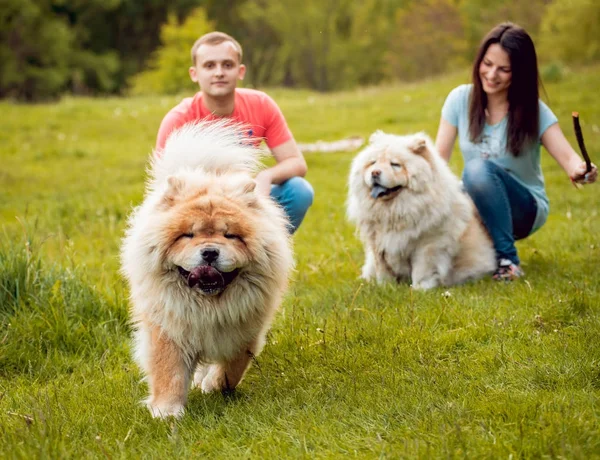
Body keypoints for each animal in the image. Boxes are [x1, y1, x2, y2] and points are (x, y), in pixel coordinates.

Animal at [120, 120, 294, 418]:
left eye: (230, 236)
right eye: (188, 235)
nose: (210, 252)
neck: (210, 308)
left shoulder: (244, 330)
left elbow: (232, 368)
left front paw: (214, 386)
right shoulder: (168, 330)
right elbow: (169, 373)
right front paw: (167, 412)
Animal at [346, 129, 496, 290]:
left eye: (395, 164)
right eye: (373, 163)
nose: (375, 172)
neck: (395, 211)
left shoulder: (428, 244)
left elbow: (422, 269)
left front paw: (419, 289)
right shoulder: (378, 244)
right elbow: (383, 269)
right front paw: (385, 287)